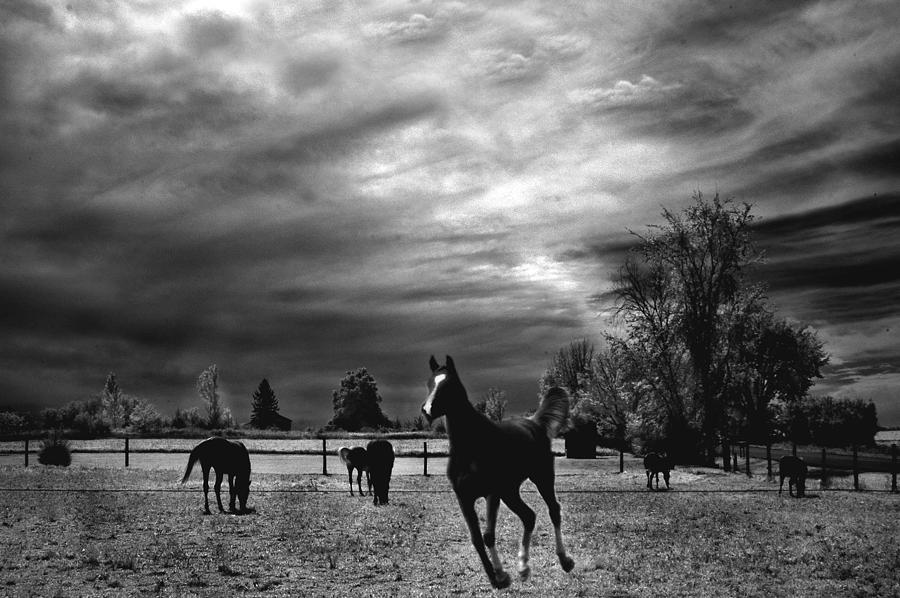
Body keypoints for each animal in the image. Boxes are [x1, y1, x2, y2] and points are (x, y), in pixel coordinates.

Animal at [420, 354, 572, 592]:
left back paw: (565, 561)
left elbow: (489, 536)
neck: (471, 446)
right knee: (529, 516)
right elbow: (476, 538)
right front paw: (496, 579)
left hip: (542, 478)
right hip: (510, 492)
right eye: (429, 383)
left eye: (449, 384)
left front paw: (501, 574)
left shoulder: (491, 494)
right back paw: (523, 568)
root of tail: (535, 422)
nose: (427, 409)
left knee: (554, 510)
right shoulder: (464, 498)